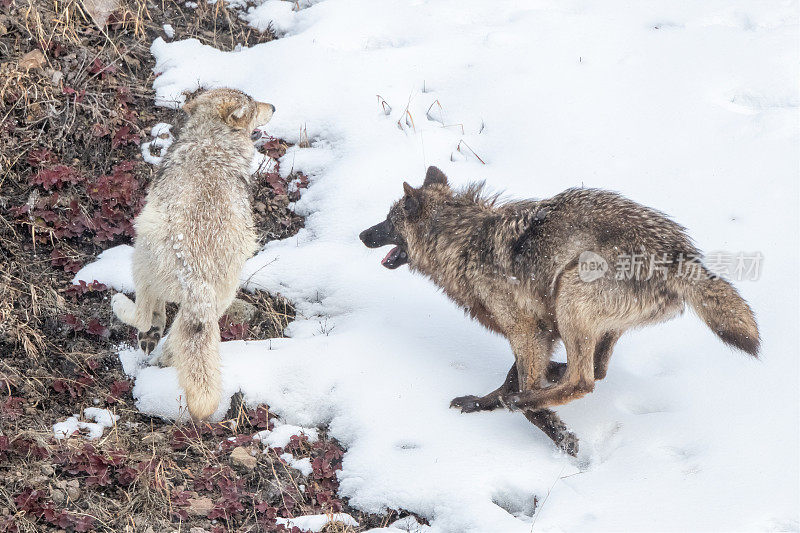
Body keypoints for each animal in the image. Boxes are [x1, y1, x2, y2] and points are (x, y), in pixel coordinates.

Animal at [360, 166, 760, 454]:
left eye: (388, 221)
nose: (362, 235)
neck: (466, 242)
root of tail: (680, 257)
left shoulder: (525, 331)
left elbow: (522, 387)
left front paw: (556, 432)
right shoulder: (539, 331)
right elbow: (510, 375)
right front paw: (481, 403)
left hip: (571, 295)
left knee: (583, 380)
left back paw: (527, 397)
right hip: (588, 319)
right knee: (596, 369)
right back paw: (548, 376)